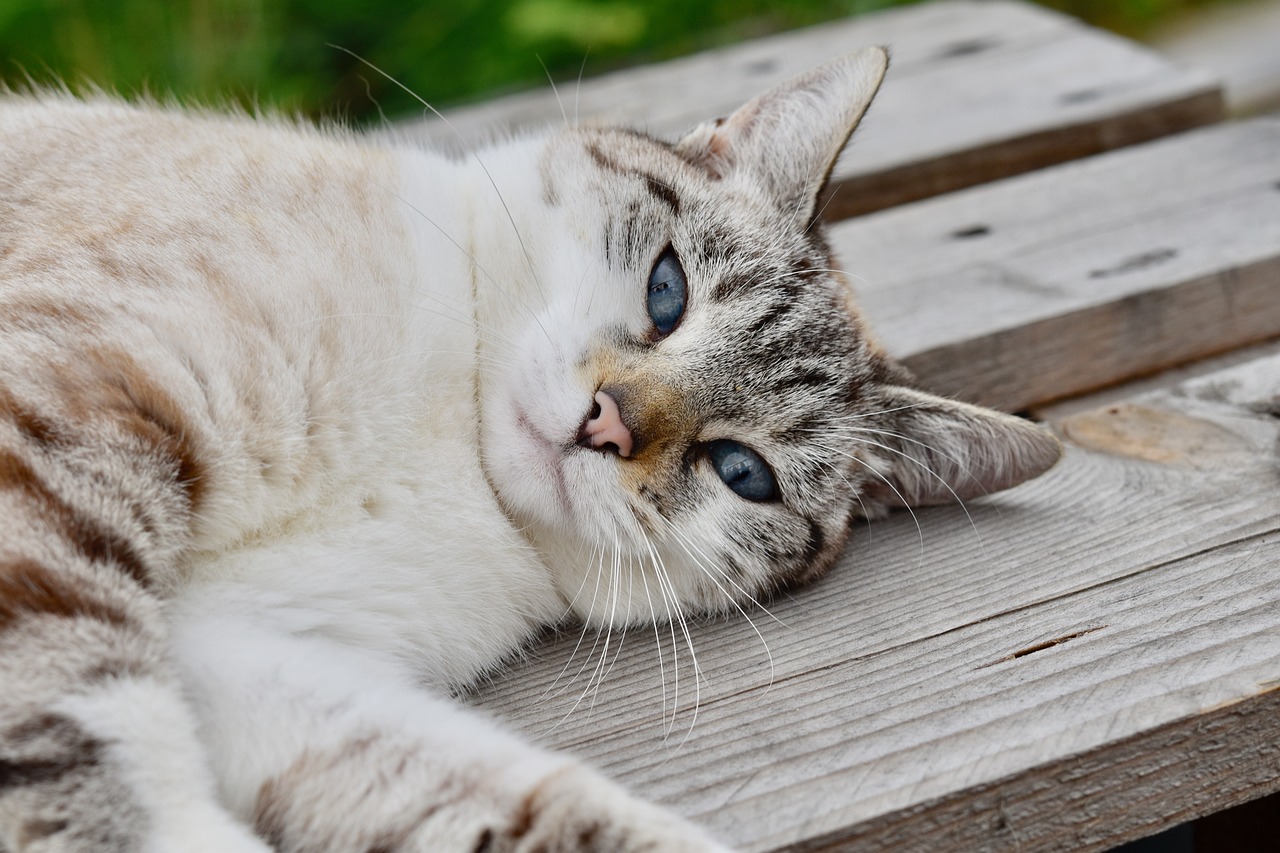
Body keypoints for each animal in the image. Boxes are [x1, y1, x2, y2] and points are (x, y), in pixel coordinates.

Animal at [0, 48, 1059, 850]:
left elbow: (527, 805)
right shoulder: (78, 407)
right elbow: (76, 728)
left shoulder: (254, 658)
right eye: (668, 289)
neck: (451, 464)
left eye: (742, 472)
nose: (606, 423)